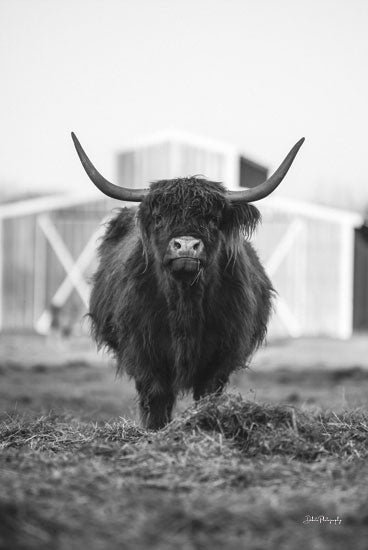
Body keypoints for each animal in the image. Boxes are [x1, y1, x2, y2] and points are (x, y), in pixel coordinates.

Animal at [70, 134, 304, 432]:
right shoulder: (142, 349)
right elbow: (156, 395)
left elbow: (207, 393)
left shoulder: (221, 353)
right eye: (159, 218)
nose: (186, 245)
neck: (185, 302)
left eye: (213, 219)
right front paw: (156, 430)